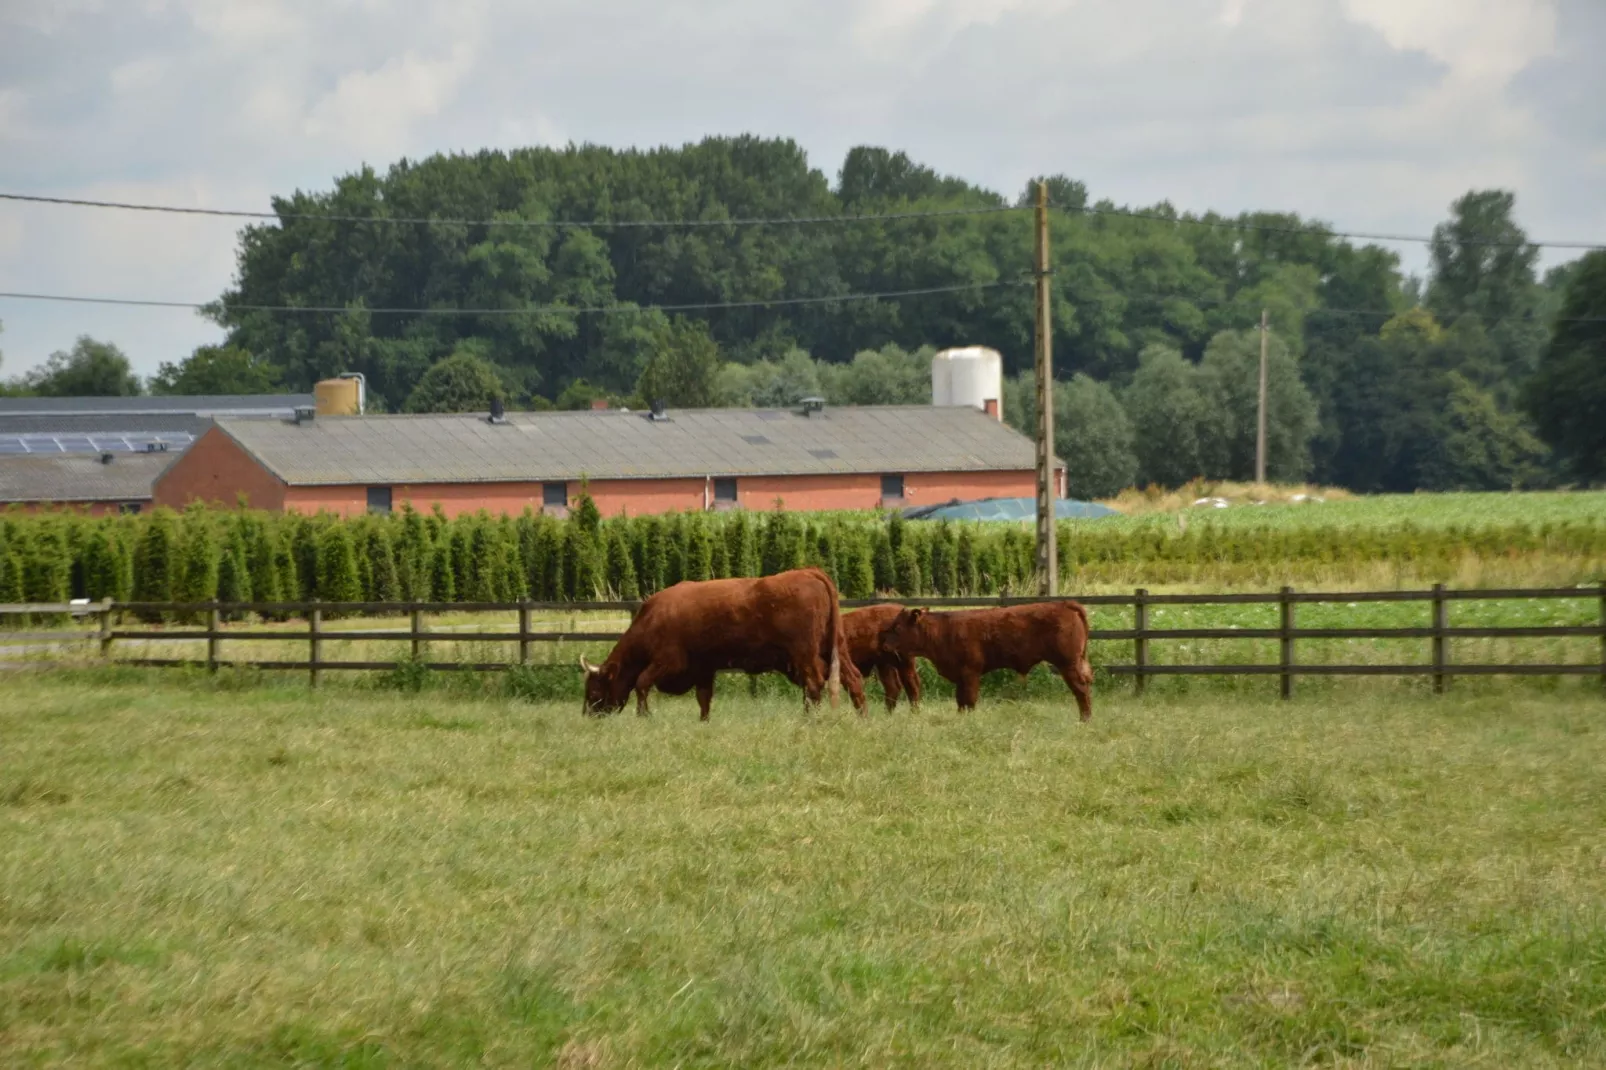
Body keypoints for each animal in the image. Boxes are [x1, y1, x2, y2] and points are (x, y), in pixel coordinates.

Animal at [584, 565, 867, 716]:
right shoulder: (702, 668)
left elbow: (642, 683)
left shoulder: (668, 661)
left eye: (594, 690)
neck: (653, 618)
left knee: (814, 684)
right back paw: (862, 717)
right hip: (835, 648)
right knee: (852, 678)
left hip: (805, 654)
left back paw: (811, 719)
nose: (589, 716)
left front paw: (644, 716)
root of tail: (808, 572)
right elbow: (704, 698)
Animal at [880, 600, 1092, 716]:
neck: (944, 630)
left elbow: (970, 700)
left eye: (897, 627)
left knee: (1081, 691)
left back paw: (1084, 720)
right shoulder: (960, 676)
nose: (884, 645)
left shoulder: (970, 673)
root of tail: (1064, 604)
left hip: (1068, 664)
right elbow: (960, 701)